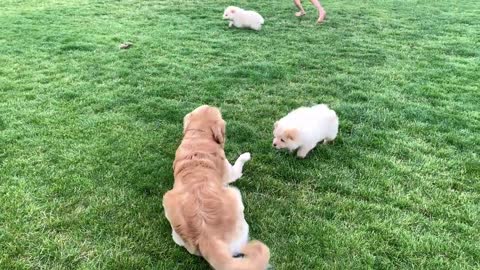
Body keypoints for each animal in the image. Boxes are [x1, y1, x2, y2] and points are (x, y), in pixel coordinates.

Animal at [163, 105, 270, 270]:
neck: (199, 136)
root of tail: (207, 237)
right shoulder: (231, 173)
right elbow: (238, 163)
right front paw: (245, 155)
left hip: (167, 199)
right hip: (234, 193)